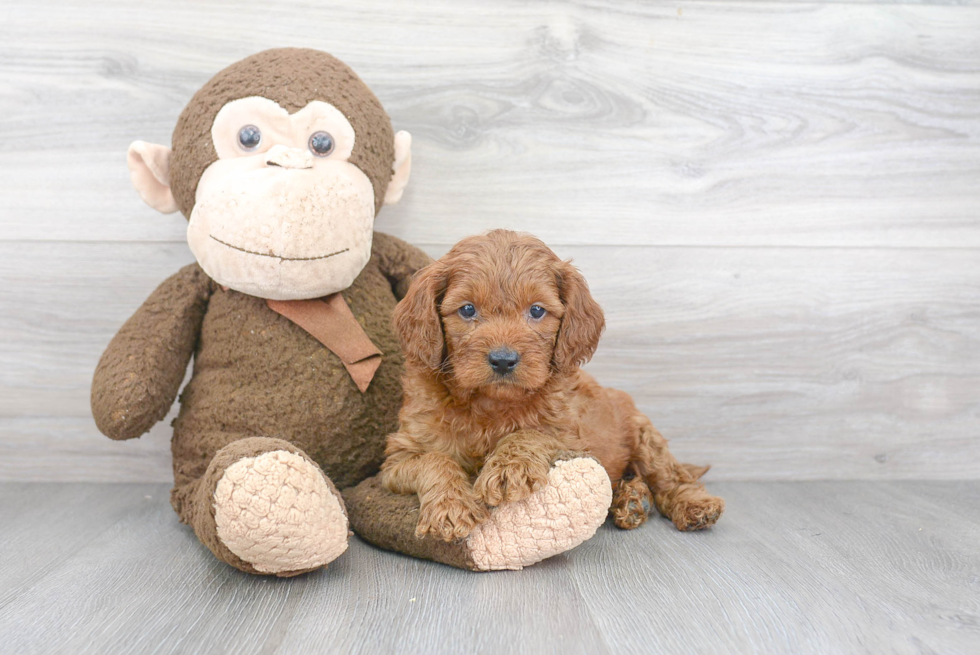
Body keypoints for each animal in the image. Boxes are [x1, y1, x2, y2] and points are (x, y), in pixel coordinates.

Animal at [378, 231, 724, 544]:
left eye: (536, 310)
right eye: (467, 310)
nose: (503, 360)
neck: (490, 403)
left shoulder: (573, 438)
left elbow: (532, 433)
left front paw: (508, 468)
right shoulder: (398, 458)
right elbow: (434, 460)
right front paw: (451, 508)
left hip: (644, 435)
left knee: (670, 477)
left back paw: (692, 505)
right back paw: (633, 500)